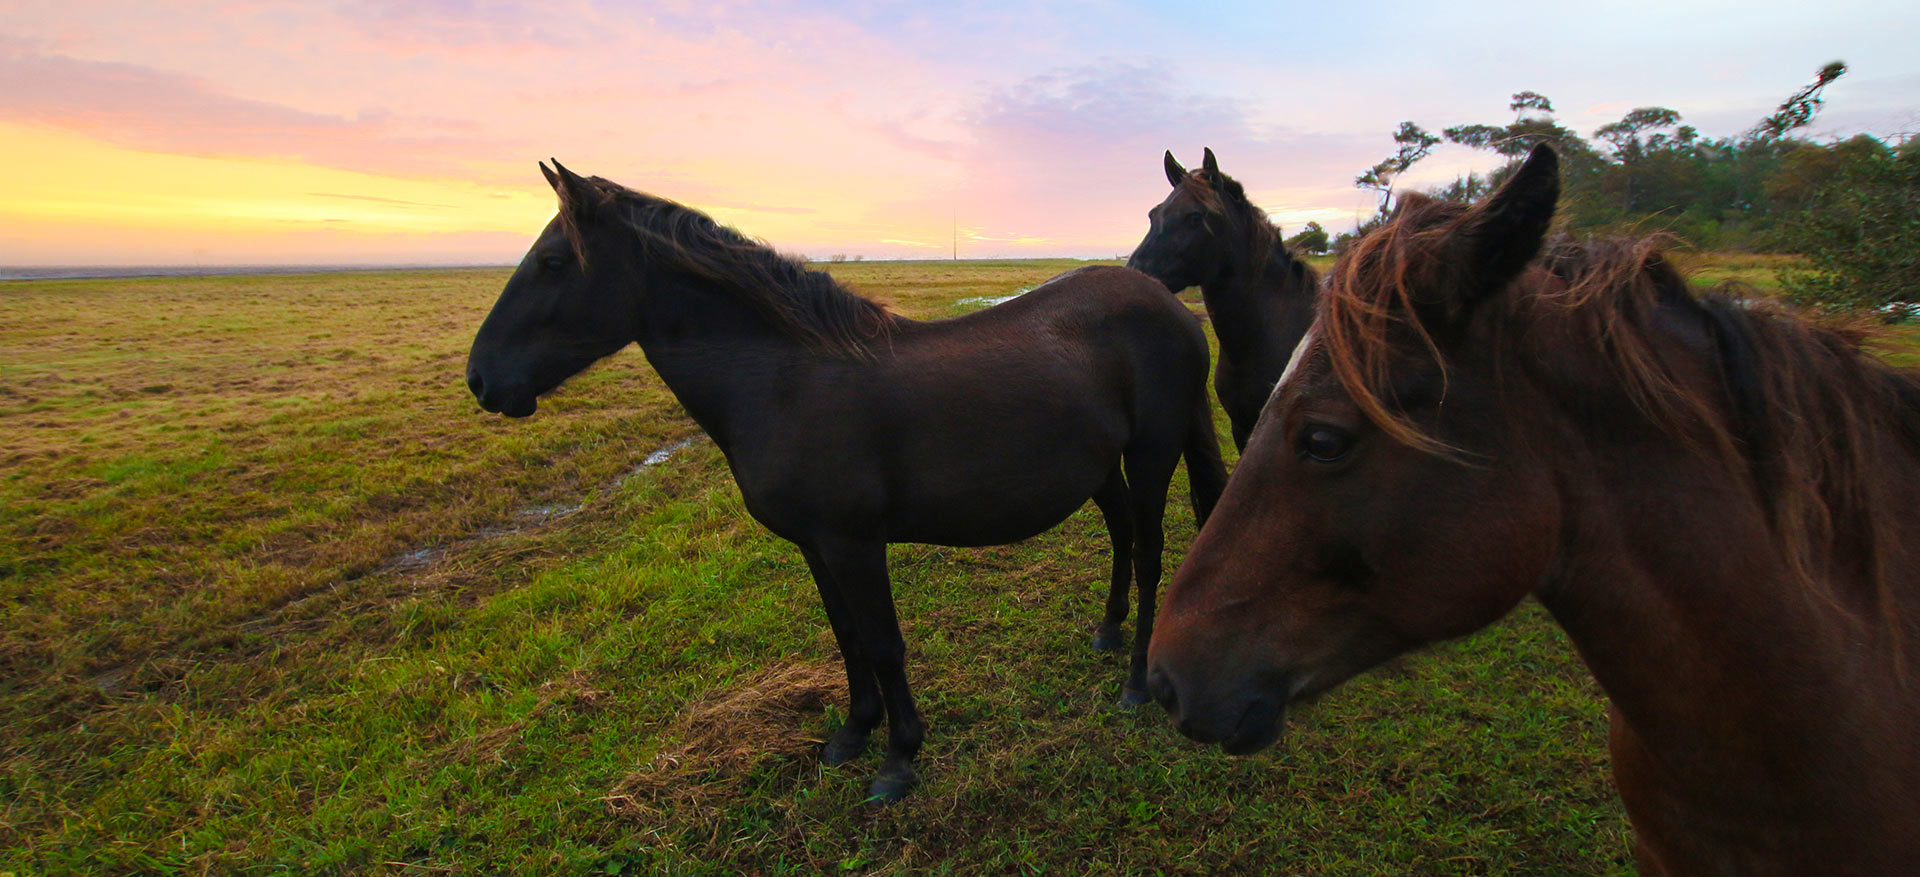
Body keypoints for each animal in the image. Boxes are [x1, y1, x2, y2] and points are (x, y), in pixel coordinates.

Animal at [466, 162, 1229, 802]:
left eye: (553, 262)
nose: (480, 378)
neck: (782, 380)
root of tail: (1170, 305)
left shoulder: (855, 544)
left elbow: (883, 642)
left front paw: (899, 758)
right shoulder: (815, 544)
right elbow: (846, 635)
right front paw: (853, 733)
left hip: (1152, 455)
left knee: (1153, 552)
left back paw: (1135, 681)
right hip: (1102, 467)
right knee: (1123, 538)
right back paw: (1106, 631)